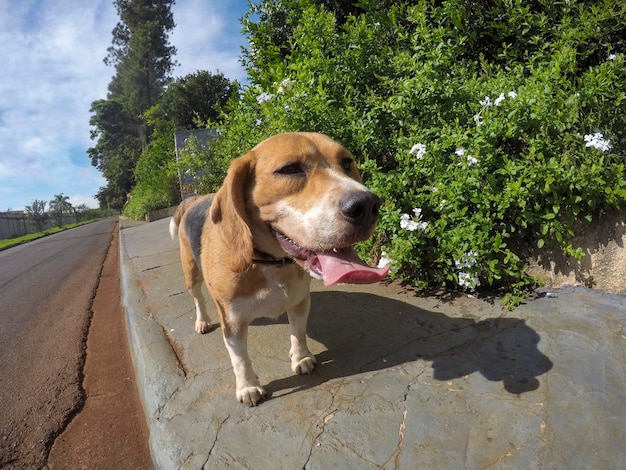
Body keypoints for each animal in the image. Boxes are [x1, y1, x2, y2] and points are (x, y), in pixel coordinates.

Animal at [168, 131, 388, 404]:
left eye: (347, 162)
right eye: (290, 169)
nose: (367, 205)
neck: (271, 262)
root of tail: (195, 199)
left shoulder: (299, 301)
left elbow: (298, 332)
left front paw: (301, 357)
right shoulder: (232, 322)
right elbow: (240, 358)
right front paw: (248, 387)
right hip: (191, 274)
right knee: (198, 298)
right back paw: (202, 321)